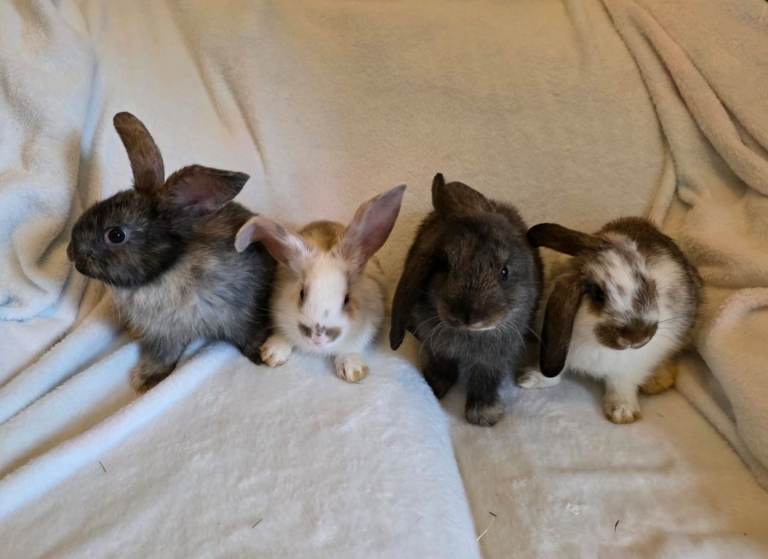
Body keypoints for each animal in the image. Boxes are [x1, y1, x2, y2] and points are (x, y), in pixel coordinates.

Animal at [67, 112, 276, 392]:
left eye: (116, 235)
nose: (71, 253)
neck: (168, 267)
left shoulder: (240, 314)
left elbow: (249, 334)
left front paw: (262, 354)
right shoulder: (163, 334)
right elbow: (163, 355)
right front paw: (147, 379)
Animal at [234, 184, 406, 383]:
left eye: (347, 299)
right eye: (301, 293)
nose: (318, 337)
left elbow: (350, 349)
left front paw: (353, 369)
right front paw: (273, 353)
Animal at [389, 173, 542, 427]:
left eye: (504, 272)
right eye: (444, 266)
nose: (468, 316)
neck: (467, 334)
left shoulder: (492, 358)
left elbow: (485, 380)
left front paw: (484, 416)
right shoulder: (436, 347)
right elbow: (440, 366)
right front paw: (434, 389)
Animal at [518, 217, 702, 424]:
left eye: (650, 284)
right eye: (598, 294)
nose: (638, 337)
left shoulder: (632, 365)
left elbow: (621, 384)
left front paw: (622, 412)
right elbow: (555, 373)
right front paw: (529, 379)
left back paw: (657, 381)